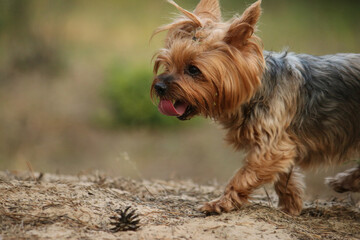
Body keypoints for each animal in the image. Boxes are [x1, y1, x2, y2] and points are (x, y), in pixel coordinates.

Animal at [150, 0, 360, 215]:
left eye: (193, 69)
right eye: (167, 64)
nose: (159, 87)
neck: (256, 90)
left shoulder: (271, 146)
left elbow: (244, 176)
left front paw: (220, 203)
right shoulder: (282, 145)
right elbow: (283, 177)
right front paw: (291, 205)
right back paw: (344, 181)